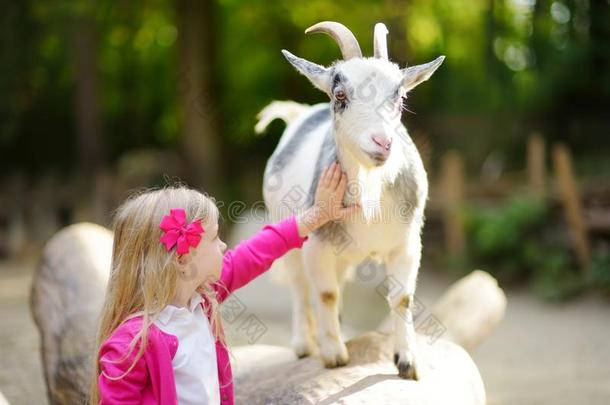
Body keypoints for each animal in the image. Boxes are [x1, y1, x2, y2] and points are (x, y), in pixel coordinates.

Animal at [255, 19, 442, 378]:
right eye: (340, 95)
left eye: (400, 97)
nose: (382, 142)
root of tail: (300, 113)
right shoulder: (316, 244)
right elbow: (325, 294)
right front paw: (333, 355)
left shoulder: (406, 244)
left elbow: (402, 298)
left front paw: (407, 362)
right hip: (286, 230)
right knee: (300, 286)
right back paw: (304, 344)